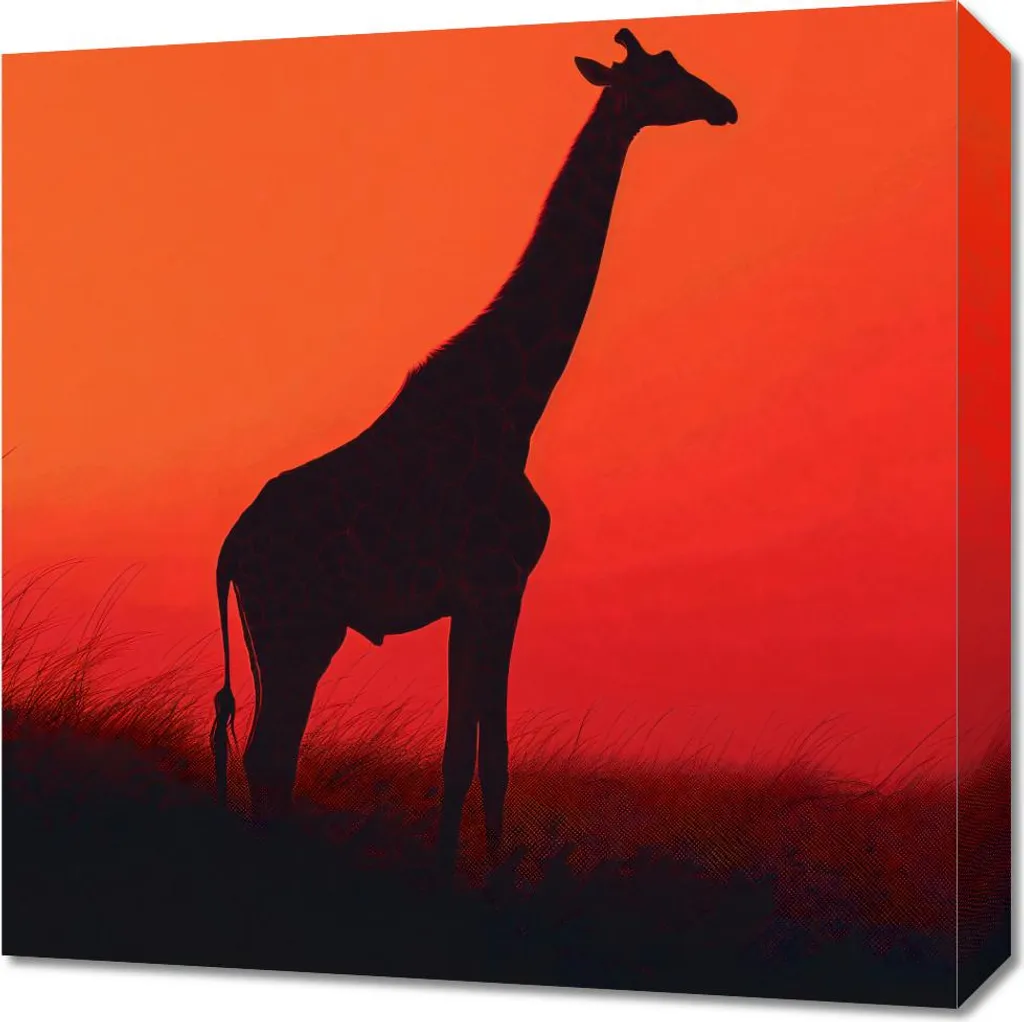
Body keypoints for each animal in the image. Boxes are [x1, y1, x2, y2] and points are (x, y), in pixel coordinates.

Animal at [212, 27, 737, 864]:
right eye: (663, 78)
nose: (724, 105)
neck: (517, 411)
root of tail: (231, 547)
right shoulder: (498, 584)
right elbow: (478, 758)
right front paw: (468, 881)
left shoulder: (480, 596)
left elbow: (480, 756)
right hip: (298, 623)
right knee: (269, 754)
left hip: (280, 630)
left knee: (271, 756)